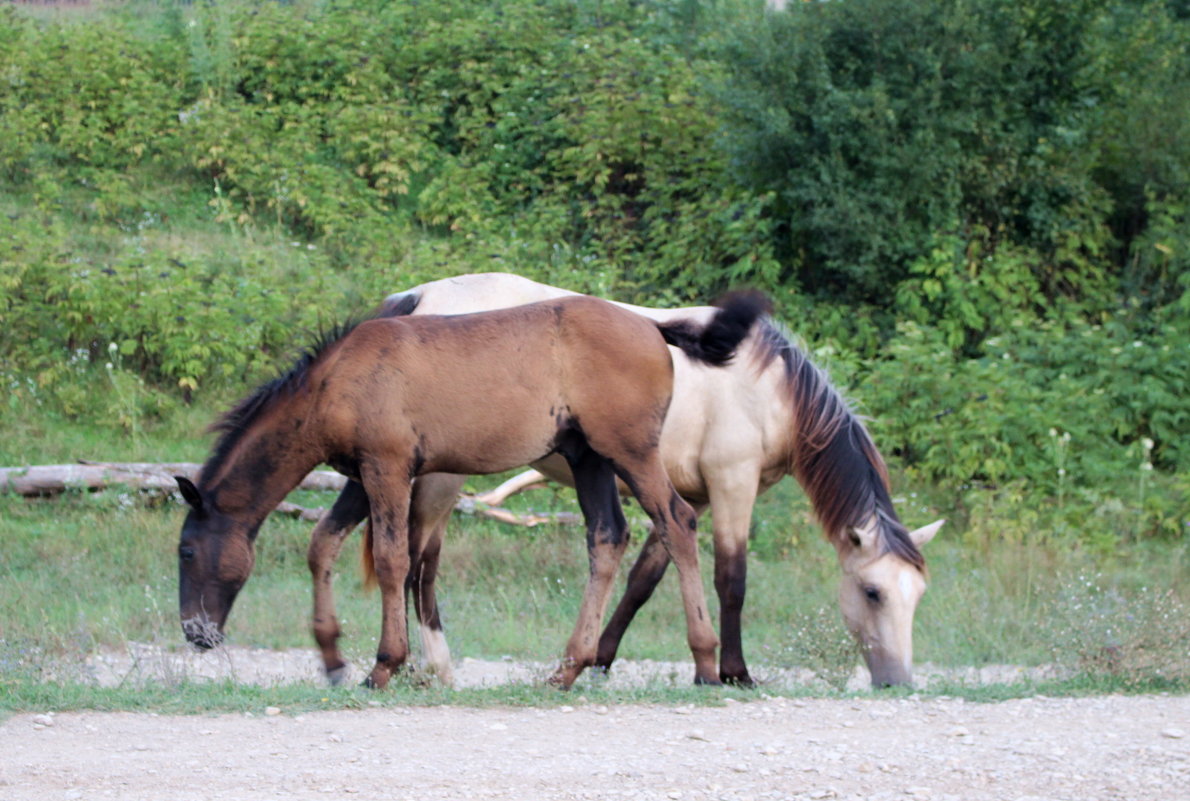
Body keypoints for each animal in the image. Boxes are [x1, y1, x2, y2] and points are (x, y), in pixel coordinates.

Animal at [176, 293, 771, 685]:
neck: (335, 383)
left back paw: (706, 663)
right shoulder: (366, 473)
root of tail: (654, 328)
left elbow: (392, 559)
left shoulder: (388, 467)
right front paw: (332, 658)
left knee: (676, 521)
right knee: (608, 535)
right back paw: (567, 668)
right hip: (588, 457)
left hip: (629, 450)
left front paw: (383, 666)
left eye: (184, 551)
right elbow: (323, 542)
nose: (195, 634)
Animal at [311, 273, 942, 685]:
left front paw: (602, 659)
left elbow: (643, 579)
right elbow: (731, 580)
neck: (767, 386)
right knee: (419, 564)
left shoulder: (692, 496)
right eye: (872, 592)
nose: (898, 681)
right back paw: (426, 666)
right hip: (440, 480)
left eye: (918, 597)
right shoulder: (731, 487)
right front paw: (733, 672)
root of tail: (416, 298)